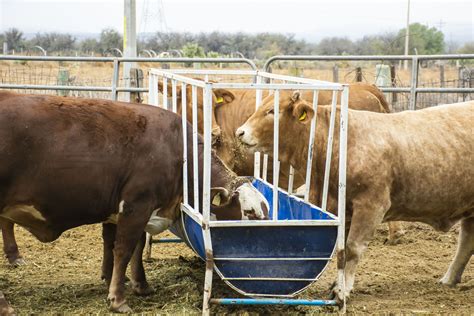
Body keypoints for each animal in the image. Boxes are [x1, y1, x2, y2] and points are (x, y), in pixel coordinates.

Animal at [0, 90, 266, 312]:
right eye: (250, 212)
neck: (176, 152)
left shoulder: (131, 210)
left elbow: (130, 247)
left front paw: (138, 283)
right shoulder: (136, 206)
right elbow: (124, 249)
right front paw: (118, 299)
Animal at [239, 94, 472, 304]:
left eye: (272, 111)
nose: (240, 132)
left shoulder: (371, 205)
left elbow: (351, 249)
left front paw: (342, 290)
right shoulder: (342, 209)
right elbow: (341, 252)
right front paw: (336, 284)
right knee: (466, 242)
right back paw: (448, 279)